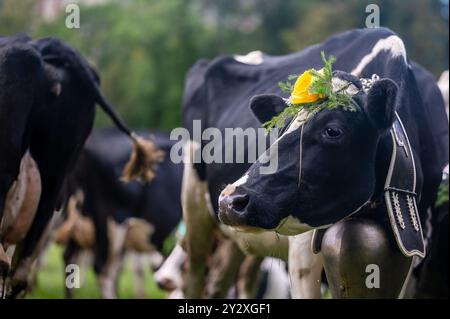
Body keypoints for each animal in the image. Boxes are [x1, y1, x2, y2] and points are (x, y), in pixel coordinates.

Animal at [180, 28, 446, 300]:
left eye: (333, 130)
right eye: (279, 129)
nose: (230, 200)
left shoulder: (411, 259)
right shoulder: (302, 254)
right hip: (194, 209)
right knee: (193, 278)